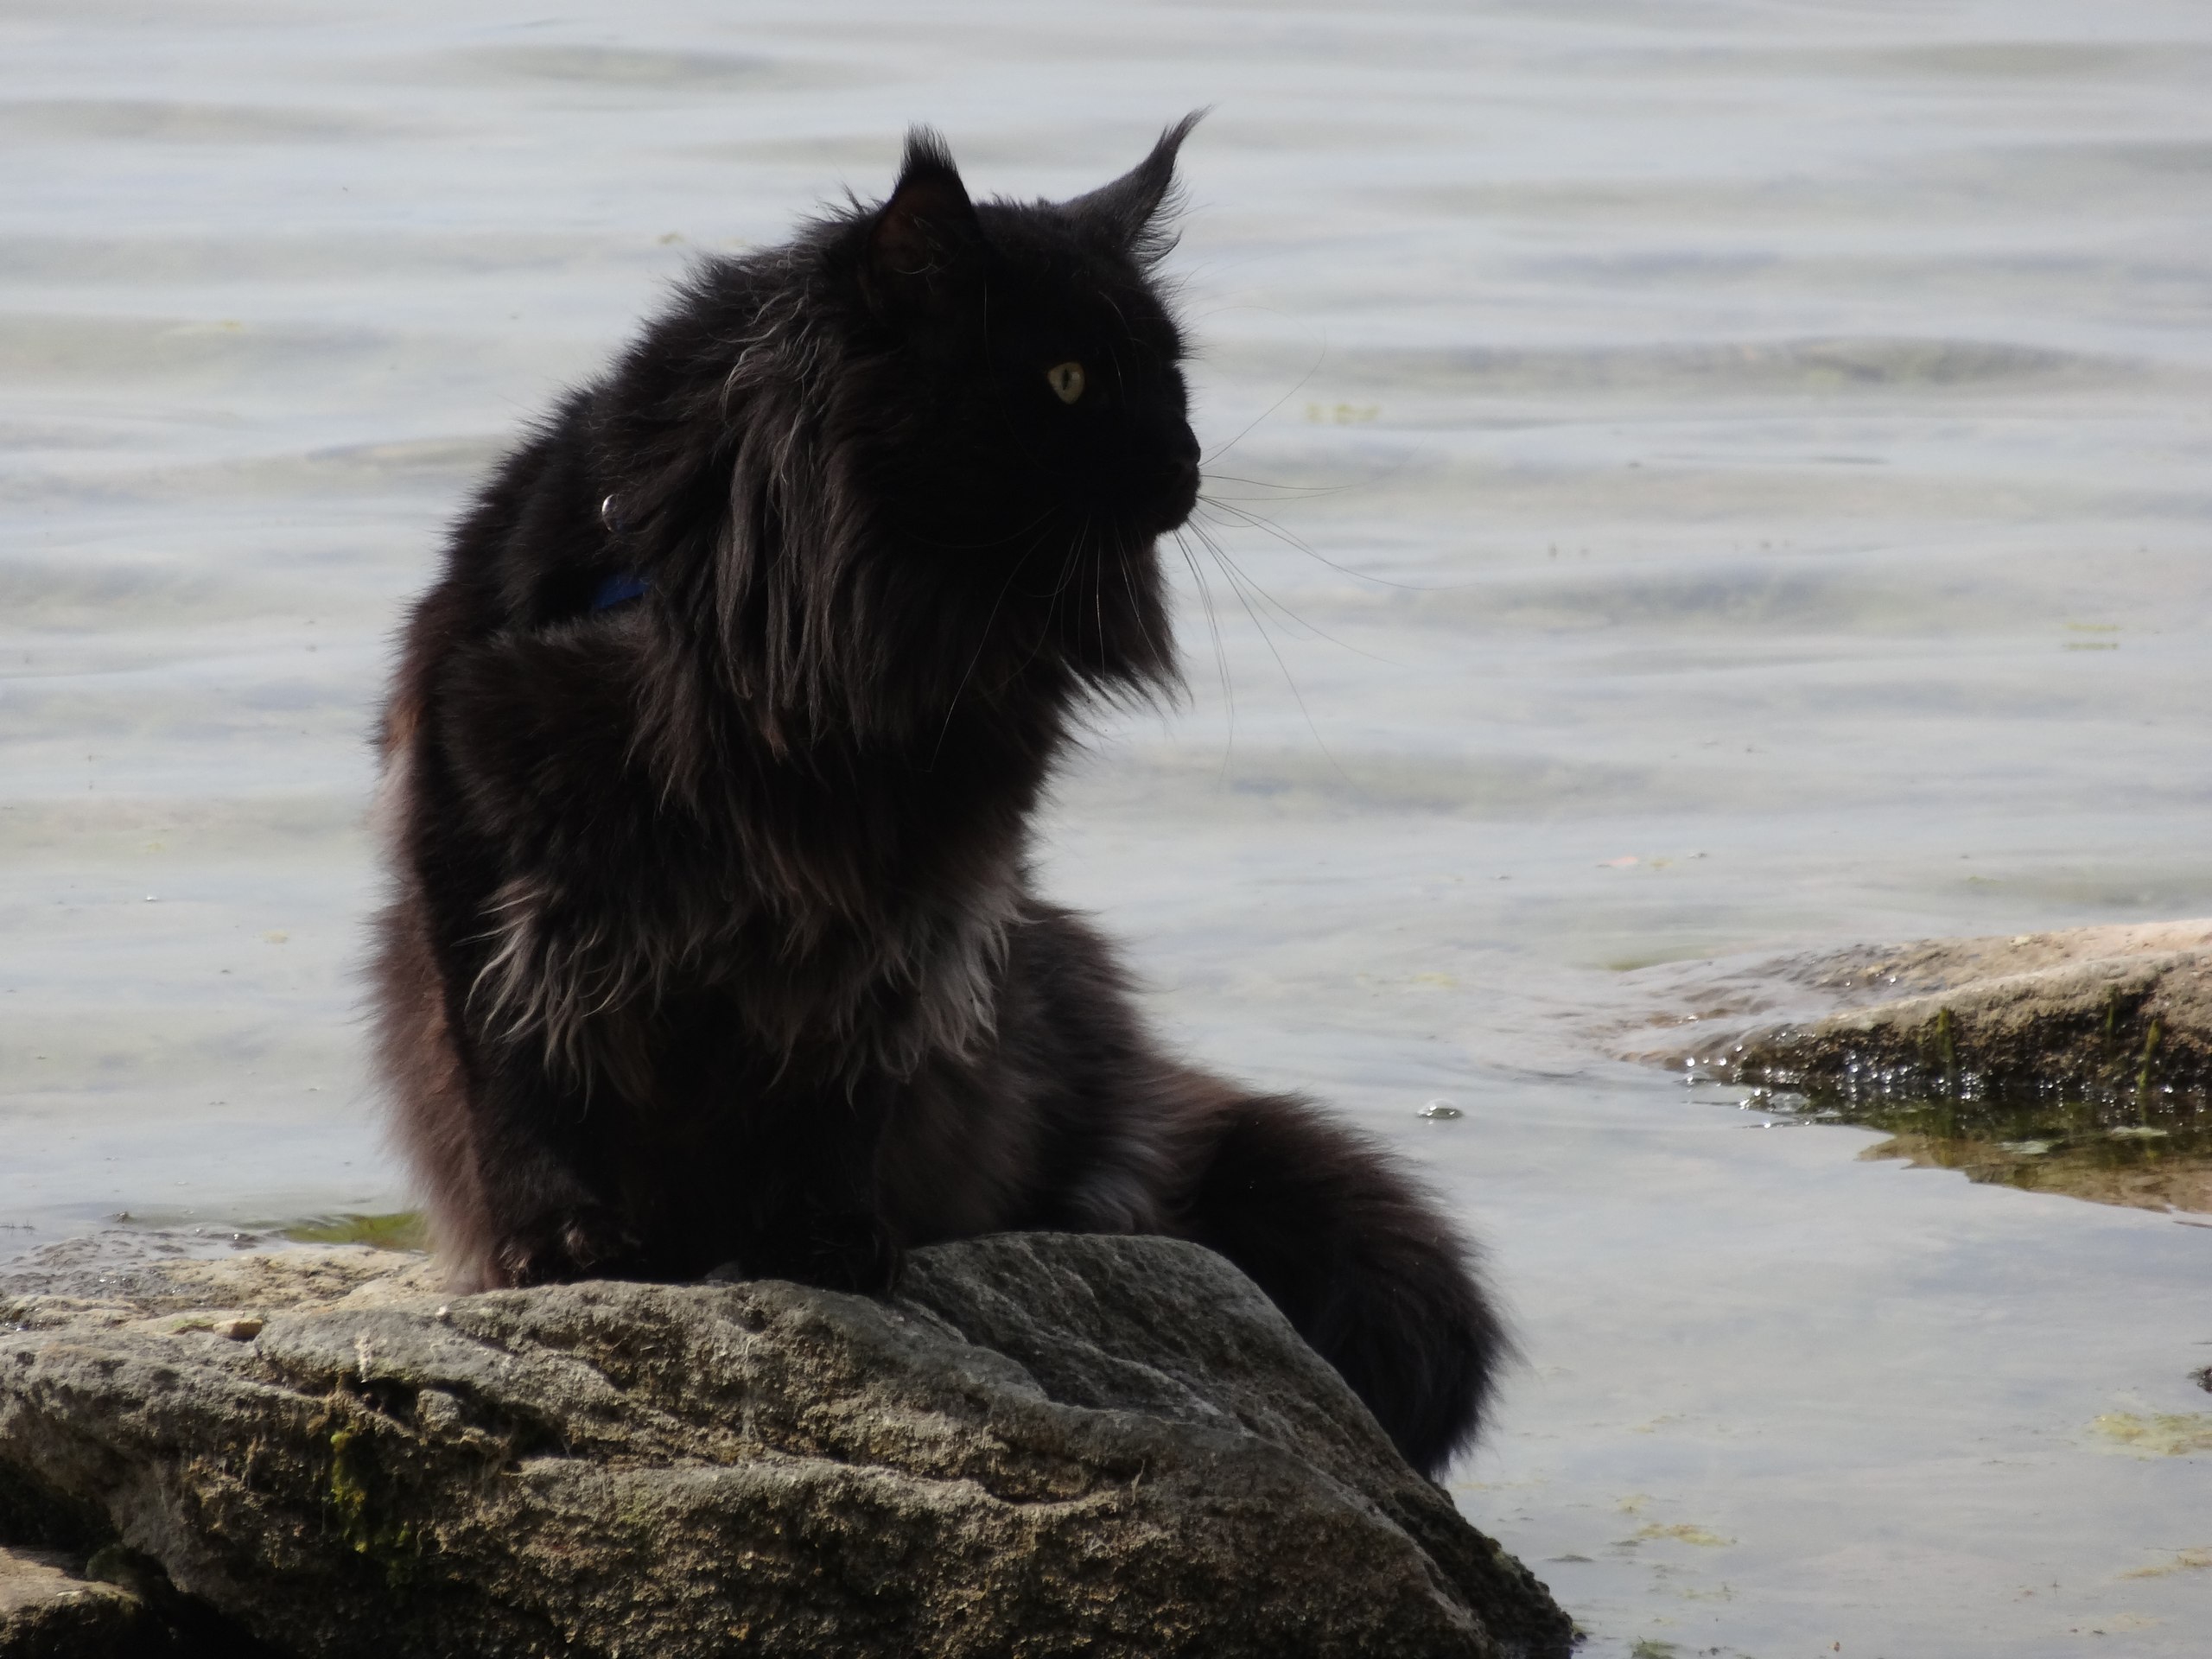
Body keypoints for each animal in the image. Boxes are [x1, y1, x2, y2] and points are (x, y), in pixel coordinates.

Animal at [370, 117, 1503, 1477]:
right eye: (1066, 380)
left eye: (1169, 376)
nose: (1184, 462)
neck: (811, 656)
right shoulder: (491, 874)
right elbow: (521, 1080)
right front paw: (556, 1253)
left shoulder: (913, 908)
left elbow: (843, 1086)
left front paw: (825, 1241)